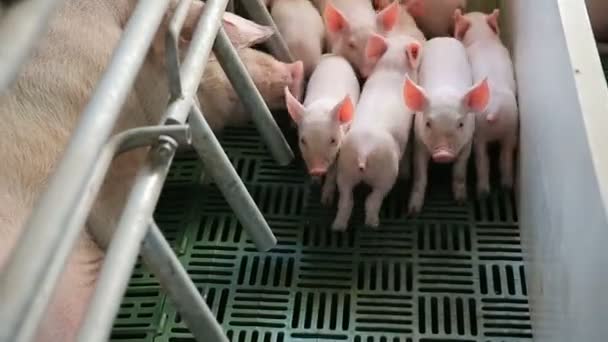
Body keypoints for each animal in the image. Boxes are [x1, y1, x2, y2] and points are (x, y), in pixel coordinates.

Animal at [330, 33, 420, 231]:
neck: (392, 66)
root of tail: (364, 151)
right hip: (387, 173)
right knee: (373, 200)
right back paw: (373, 224)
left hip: (345, 169)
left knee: (346, 201)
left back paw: (337, 227)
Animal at [404, 37, 490, 214]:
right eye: (428, 123)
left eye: (461, 124)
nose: (443, 153)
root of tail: (443, 38)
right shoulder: (419, 141)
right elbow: (420, 175)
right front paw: (413, 211)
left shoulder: (467, 143)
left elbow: (459, 172)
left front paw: (461, 202)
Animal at [456, 10, 516, 195]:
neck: (482, 38)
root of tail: (495, 110)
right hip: (510, 128)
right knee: (505, 158)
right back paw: (506, 186)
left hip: (479, 133)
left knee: (483, 160)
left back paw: (482, 192)